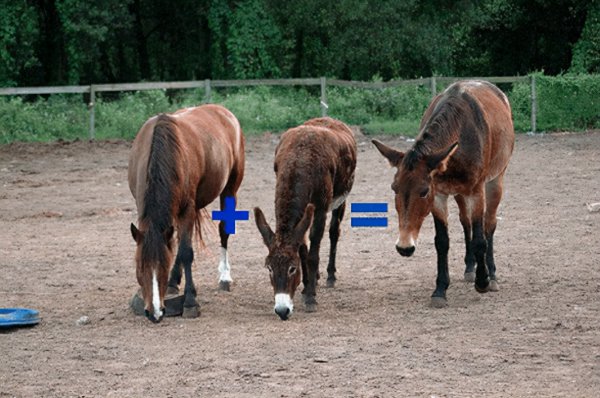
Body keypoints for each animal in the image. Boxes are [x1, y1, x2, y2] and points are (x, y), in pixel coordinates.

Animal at [128, 104, 244, 322]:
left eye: (163, 267)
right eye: (139, 267)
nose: (155, 313)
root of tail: (223, 111)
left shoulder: (186, 209)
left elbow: (186, 252)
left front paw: (190, 301)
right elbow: (177, 247)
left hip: (230, 188)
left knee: (223, 230)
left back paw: (224, 277)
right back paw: (174, 282)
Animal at [254, 116, 356, 318]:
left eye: (292, 269)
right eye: (269, 268)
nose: (282, 310)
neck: (299, 159)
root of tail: (329, 119)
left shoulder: (321, 208)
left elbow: (313, 253)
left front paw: (310, 298)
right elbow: (303, 248)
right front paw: (307, 285)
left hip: (341, 198)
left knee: (334, 232)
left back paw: (330, 276)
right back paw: (315, 278)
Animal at [372, 79, 512, 306]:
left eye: (423, 191)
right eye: (394, 189)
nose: (404, 247)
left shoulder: (475, 191)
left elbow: (480, 239)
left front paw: (482, 281)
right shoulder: (439, 195)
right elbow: (442, 242)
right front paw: (440, 290)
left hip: (495, 181)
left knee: (489, 224)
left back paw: (491, 275)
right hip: (459, 192)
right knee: (465, 222)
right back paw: (470, 267)